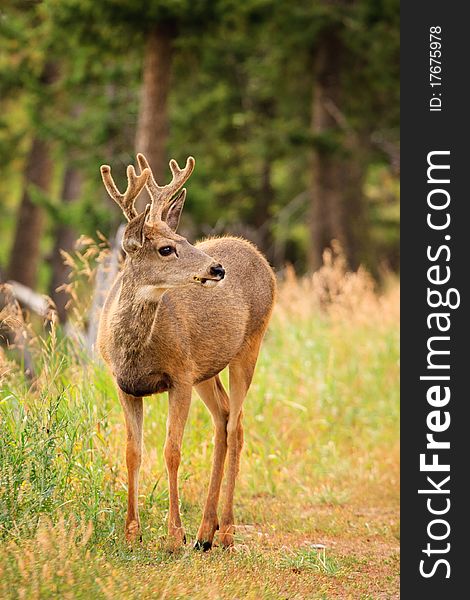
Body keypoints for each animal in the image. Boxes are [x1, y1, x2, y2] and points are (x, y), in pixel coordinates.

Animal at [98, 152, 278, 552]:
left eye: (183, 238)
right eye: (167, 248)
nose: (217, 268)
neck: (135, 350)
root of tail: (258, 254)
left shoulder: (179, 376)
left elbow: (172, 451)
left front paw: (172, 535)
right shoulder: (124, 385)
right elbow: (132, 452)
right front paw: (132, 533)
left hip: (250, 345)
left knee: (236, 426)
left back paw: (223, 532)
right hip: (206, 370)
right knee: (223, 418)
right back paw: (205, 532)